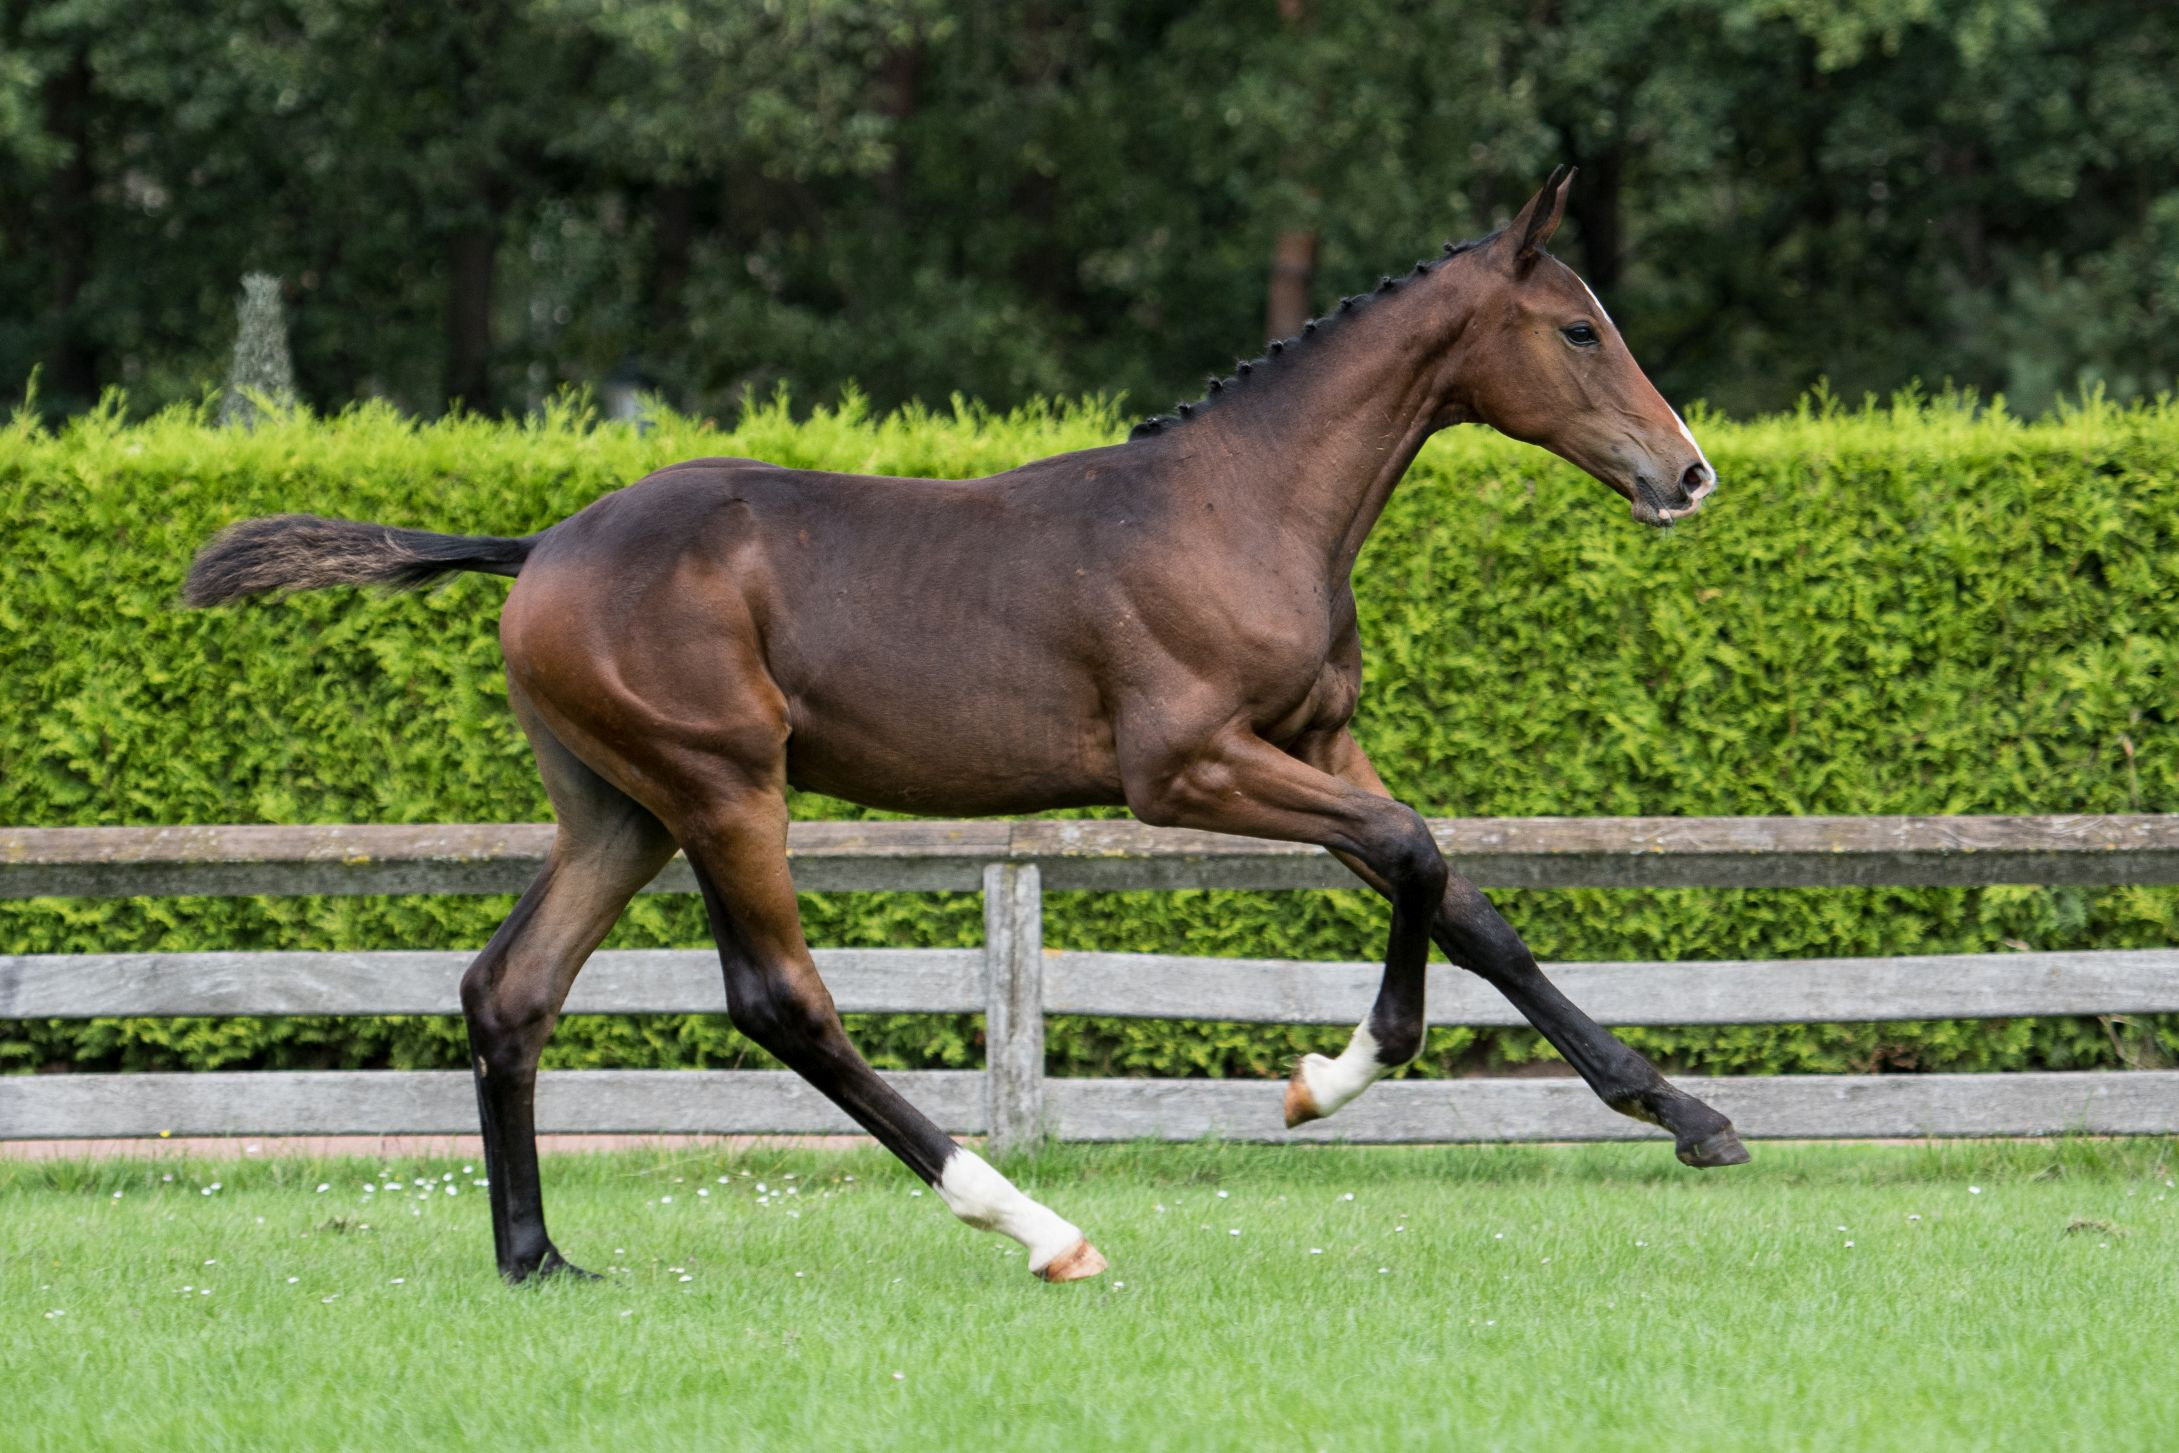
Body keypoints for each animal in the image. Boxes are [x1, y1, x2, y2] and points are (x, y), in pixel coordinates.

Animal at [184, 167, 1740, 1287]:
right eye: (1576, 329)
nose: (1688, 474)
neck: (1243, 507)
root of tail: (540, 547)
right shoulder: (1186, 771)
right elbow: (1417, 856)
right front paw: (1325, 1081)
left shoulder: (1313, 749)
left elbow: (1469, 905)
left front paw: (1685, 1115)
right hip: (722, 788)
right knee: (780, 1003)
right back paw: (1034, 1224)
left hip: (618, 808)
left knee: (510, 990)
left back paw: (537, 1258)